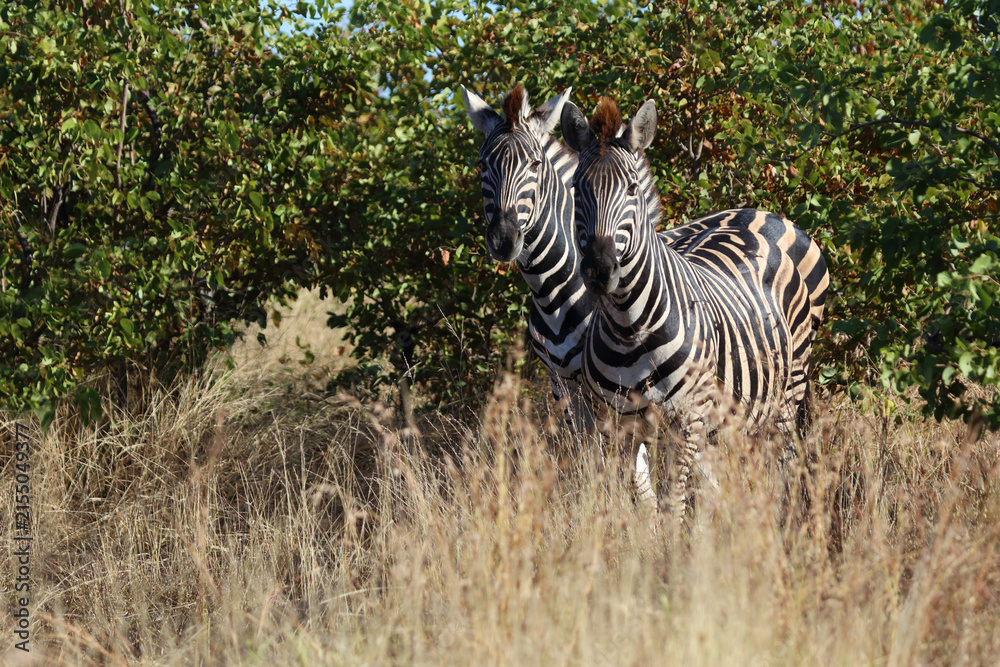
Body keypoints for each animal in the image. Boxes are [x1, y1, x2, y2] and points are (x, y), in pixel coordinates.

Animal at [561, 96, 829, 515]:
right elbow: (640, 501)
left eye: (632, 188)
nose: (600, 271)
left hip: (790, 387)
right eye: (576, 188)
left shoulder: (686, 421)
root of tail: (764, 212)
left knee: (784, 466)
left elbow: (673, 504)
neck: (628, 327)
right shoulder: (620, 425)